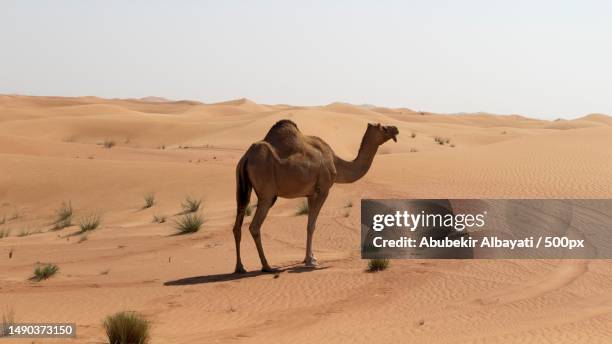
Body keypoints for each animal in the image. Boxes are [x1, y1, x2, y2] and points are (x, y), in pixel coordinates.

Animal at [232, 119, 400, 272]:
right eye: (384, 128)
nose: (396, 129)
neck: (336, 163)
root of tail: (246, 157)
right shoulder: (323, 189)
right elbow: (312, 226)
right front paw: (310, 261)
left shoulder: (310, 194)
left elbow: (308, 225)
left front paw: (310, 257)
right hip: (267, 194)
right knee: (254, 226)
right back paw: (267, 266)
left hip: (242, 188)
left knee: (237, 224)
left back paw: (240, 267)